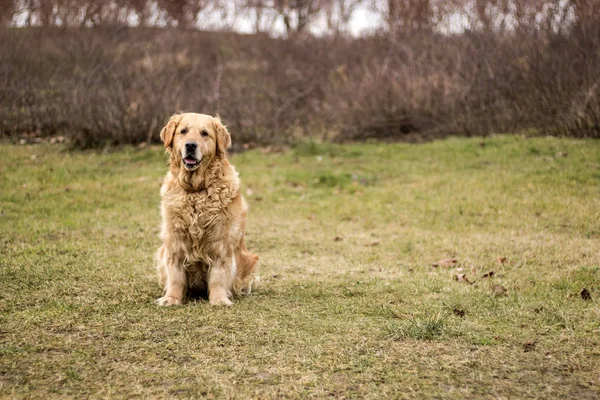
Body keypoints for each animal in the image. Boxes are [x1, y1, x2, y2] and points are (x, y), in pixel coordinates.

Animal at [155, 112, 258, 306]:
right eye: (183, 131)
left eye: (204, 133)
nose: (190, 145)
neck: (196, 190)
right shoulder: (174, 241)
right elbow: (175, 276)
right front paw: (171, 298)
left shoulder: (221, 241)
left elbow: (218, 276)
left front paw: (219, 299)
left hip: (249, 260)